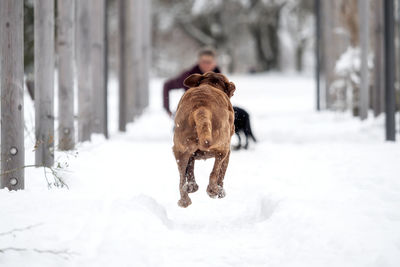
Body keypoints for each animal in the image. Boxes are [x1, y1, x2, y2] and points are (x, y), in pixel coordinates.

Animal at [172, 72, 234, 208]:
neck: (211, 83)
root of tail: (201, 107)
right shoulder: (228, 153)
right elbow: (221, 172)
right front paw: (220, 191)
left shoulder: (190, 155)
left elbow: (190, 169)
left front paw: (191, 186)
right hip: (223, 148)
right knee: (214, 173)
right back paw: (214, 190)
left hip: (180, 150)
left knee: (181, 180)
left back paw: (185, 198)